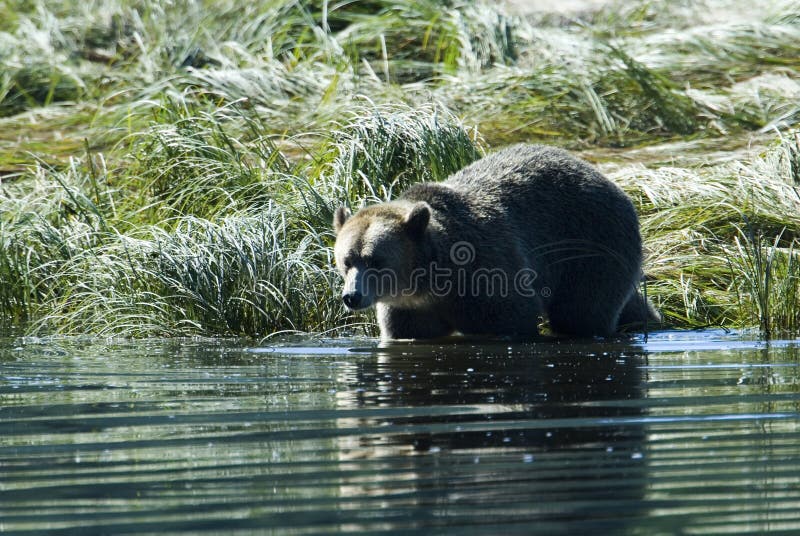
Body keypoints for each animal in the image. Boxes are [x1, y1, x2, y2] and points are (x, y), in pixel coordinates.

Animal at [332, 143, 656, 340]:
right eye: (346, 261)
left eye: (376, 260)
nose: (352, 296)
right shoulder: (408, 310)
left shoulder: (488, 278)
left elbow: (510, 319)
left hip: (590, 245)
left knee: (581, 311)